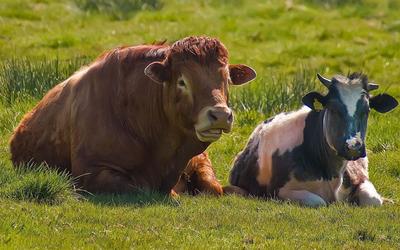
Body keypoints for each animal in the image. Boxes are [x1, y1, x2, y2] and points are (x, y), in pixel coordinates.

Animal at [10, 35, 256, 195]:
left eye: (227, 79)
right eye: (182, 81)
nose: (220, 115)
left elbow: (216, 188)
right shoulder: (91, 172)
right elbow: (141, 188)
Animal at [225, 73, 396, 207]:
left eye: (367, 110)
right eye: (333, 109)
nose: (353, 146)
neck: (331, 172)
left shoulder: (361, 178)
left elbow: (374, 199)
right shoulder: (279, 189)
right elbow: (318, 201)